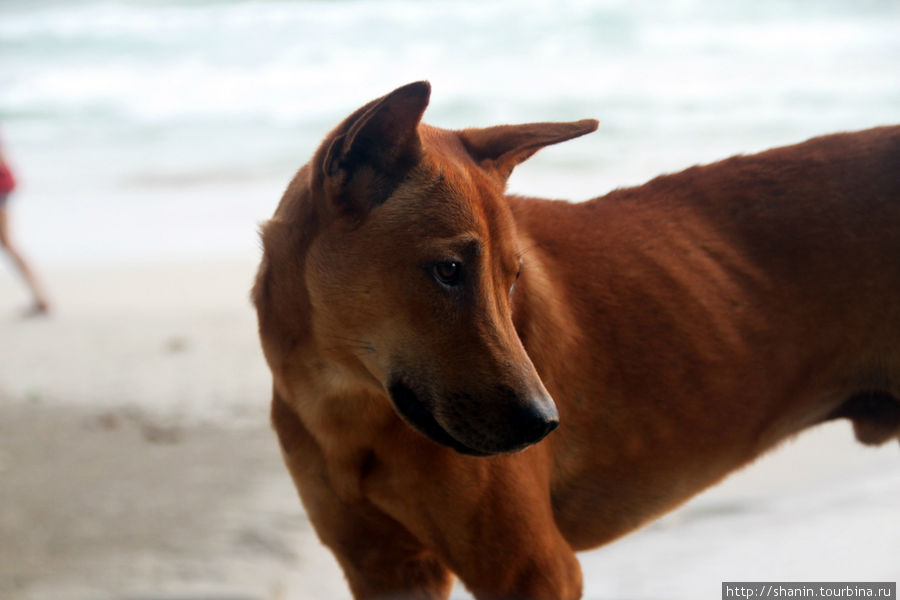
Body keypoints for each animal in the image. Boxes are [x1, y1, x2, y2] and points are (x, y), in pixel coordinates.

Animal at [253, 81, 900, 600]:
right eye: (448, 270)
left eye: (512, 277)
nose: (543, 425)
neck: (344, 404)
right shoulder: (387, 569)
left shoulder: (534, 571)